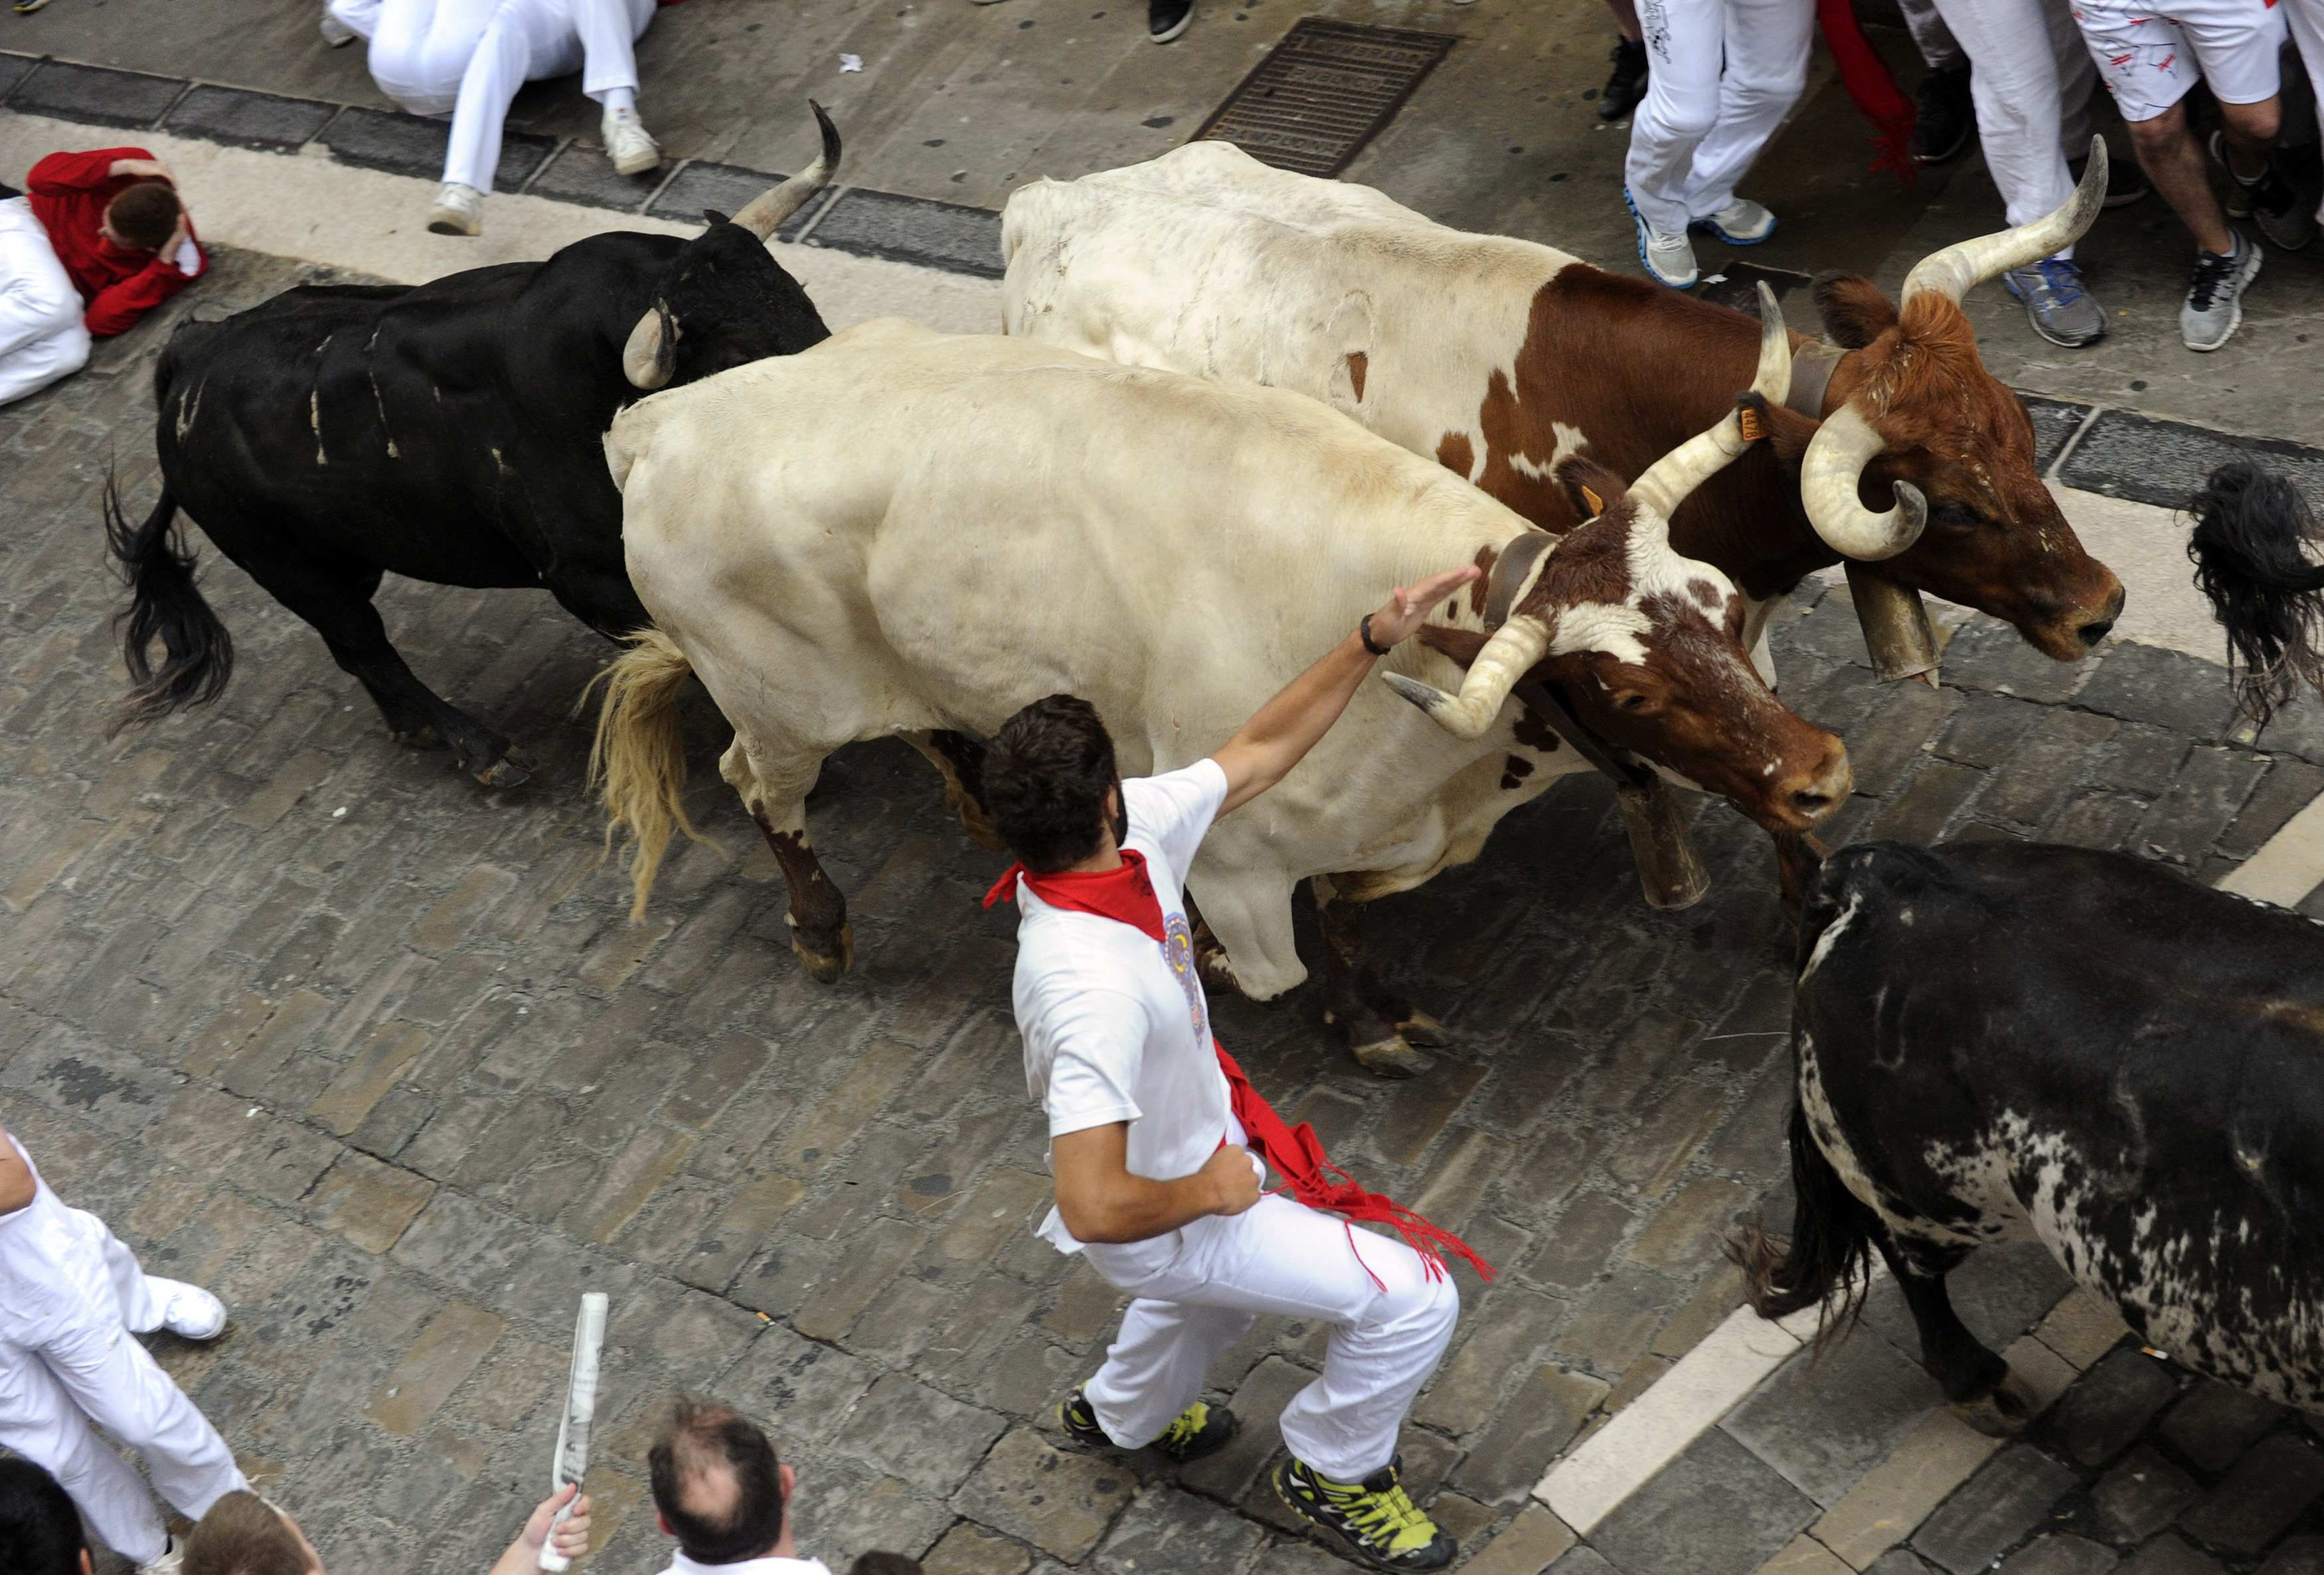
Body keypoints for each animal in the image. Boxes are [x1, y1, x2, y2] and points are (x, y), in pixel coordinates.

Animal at [104, 105, 846, 785]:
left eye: (800, 298)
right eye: (739, 354)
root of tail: (191, 354)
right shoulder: (589, 580)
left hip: (346, 557)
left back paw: (419, 731)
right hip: (288, 566)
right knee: (362, 643)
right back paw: (482, 751)